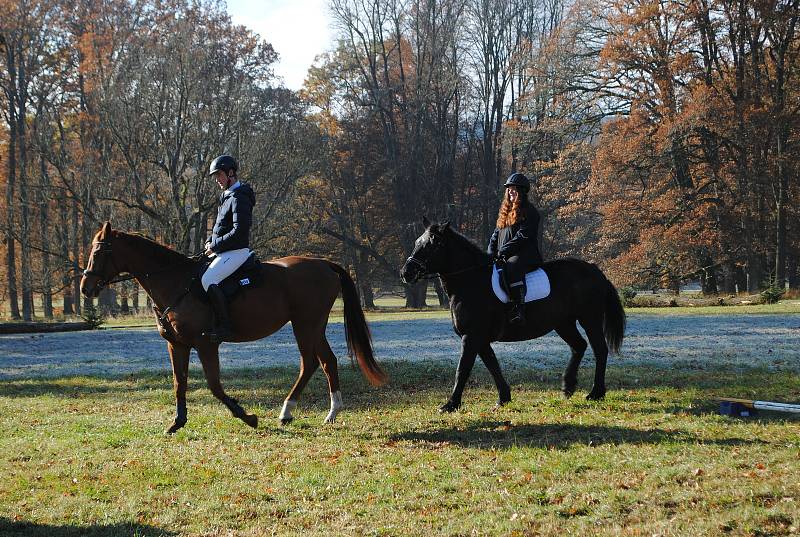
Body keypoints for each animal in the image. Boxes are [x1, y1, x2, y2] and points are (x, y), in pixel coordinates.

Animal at [79, 222, 386, 432]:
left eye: (99, 251)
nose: (85, 288)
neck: (177, 282)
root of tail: (323, 263)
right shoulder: (176, 344)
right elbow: (180, 382)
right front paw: (177, 422)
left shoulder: (206, 343)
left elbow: (214, 385)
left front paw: (248, 417)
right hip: (313, 326)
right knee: (326, 361)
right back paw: (327, 413)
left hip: (305, 325)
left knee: (310, 362)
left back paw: (293, 411)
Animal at [400, 218, 624, 410]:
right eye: (417, 242)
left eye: (434, 244)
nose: (406, 273)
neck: (471, 281)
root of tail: (594, 270)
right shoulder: (480, 339)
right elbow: (493, 365)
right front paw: (503, 398)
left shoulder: (471, 337)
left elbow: (462, 369)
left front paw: (451, 404)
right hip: (564, 323)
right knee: (579, 346)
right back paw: (568, 387)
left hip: (590, 319)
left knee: (599, 350)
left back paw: (596, 393)